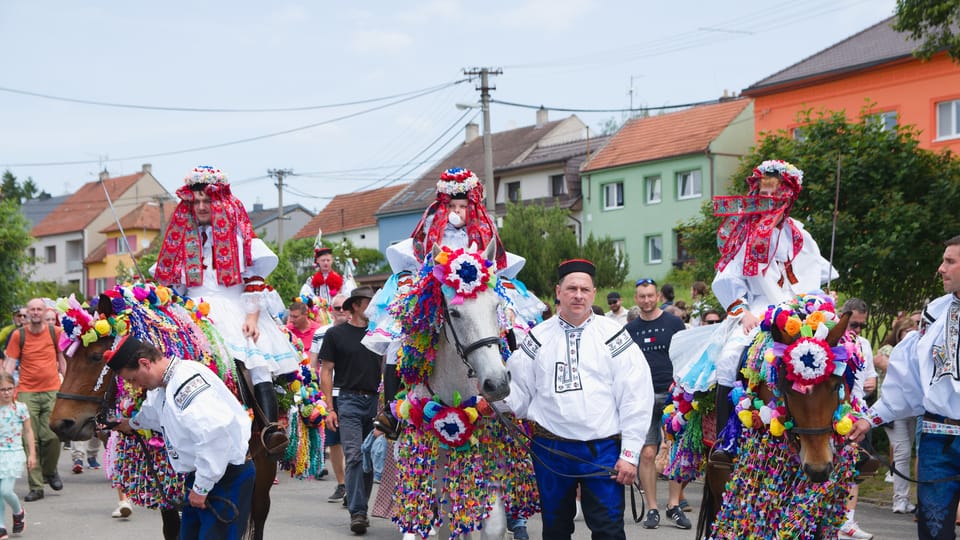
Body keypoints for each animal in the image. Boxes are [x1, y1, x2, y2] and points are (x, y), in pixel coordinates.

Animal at [49, 288, 278, 540]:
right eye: (65, 358)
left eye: (96, 357)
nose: (61, 424)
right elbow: (172, 528)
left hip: (264, 470)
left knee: (259, 514)